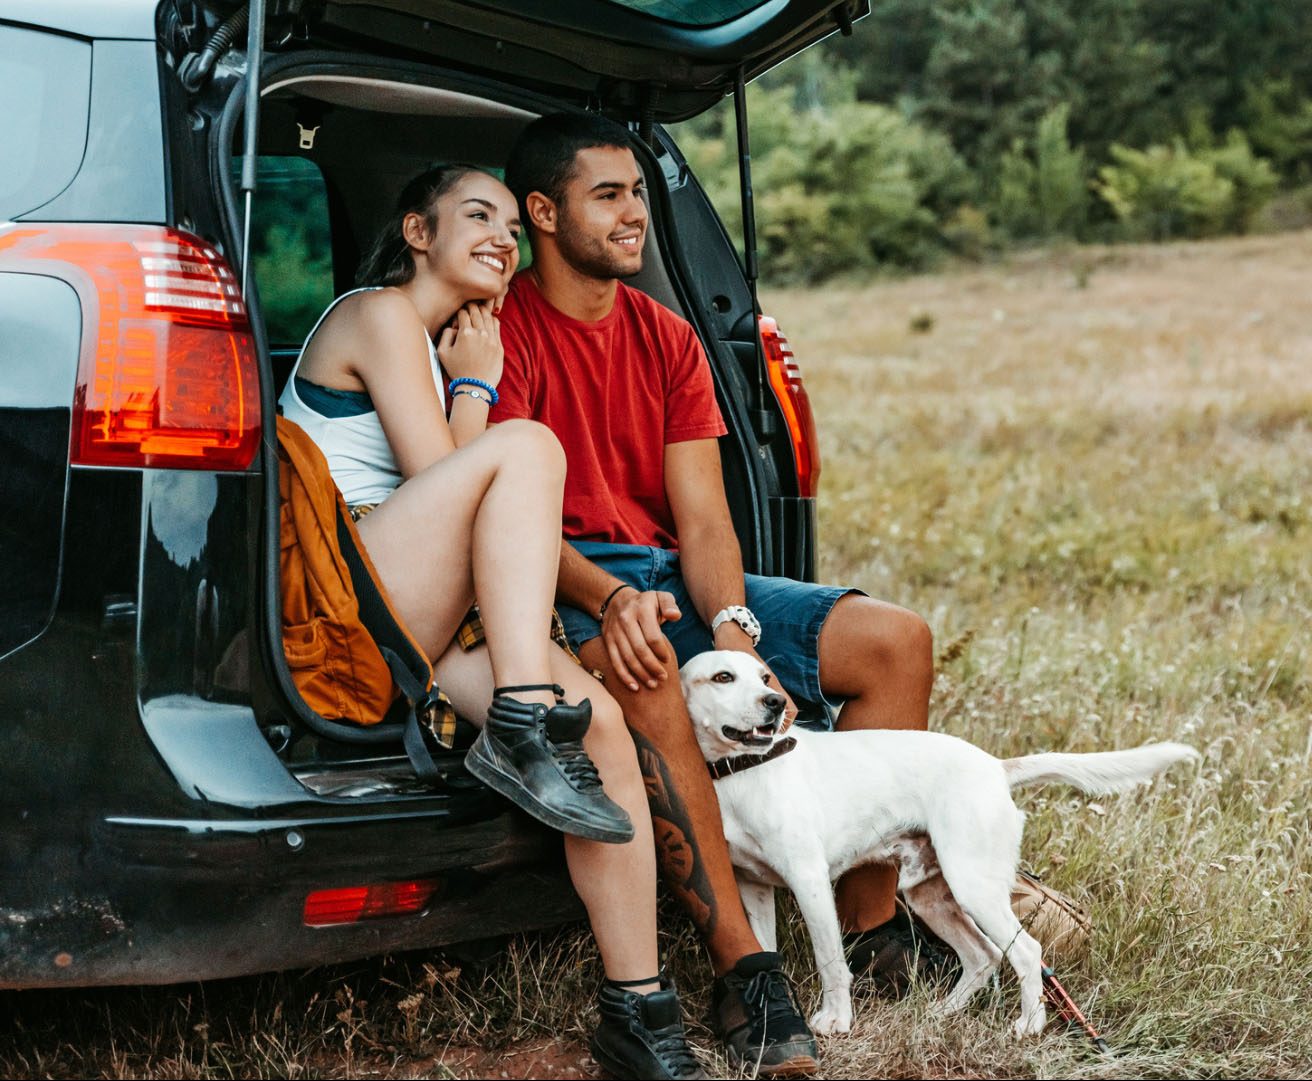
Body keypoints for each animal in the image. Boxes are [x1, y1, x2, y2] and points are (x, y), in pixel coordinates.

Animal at [682, 650, 1201, 1039]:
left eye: (765, 677)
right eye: (723, 677)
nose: (774, 702)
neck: (743, 771)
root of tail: (995, 767)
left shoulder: (809, 881)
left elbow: (831, 962)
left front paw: (836, 1021)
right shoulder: (752, 888)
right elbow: (763, 951)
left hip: (974, 887)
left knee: (1025, 951)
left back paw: (1028, 1027)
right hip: (930, 896)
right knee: (983, 956)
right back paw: (942, 1014)